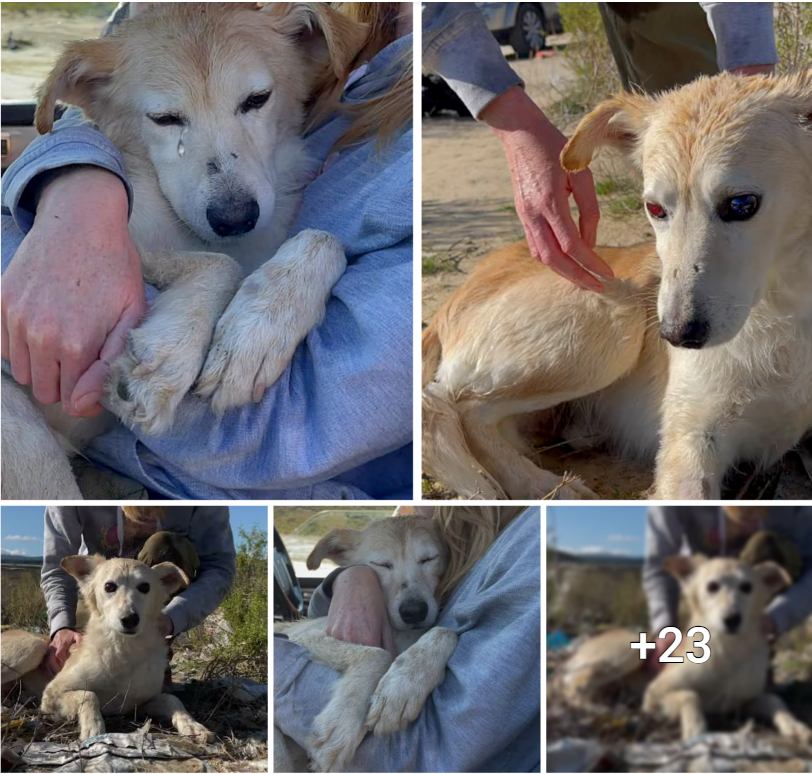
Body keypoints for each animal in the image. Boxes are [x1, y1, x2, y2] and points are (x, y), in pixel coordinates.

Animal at [0, 3, 368, 500]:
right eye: (164, 118)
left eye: (257, 99)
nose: (234, 217)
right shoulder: (114, 248)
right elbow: (222, 264)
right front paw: (169, 357)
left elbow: (324, 239)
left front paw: (258, 332)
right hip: (22, 436)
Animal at [1, 556, 211, 744]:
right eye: (109, 587)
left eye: (145, 587)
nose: (130, 619)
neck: (123, 649)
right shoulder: (52, 693)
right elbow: (89, 695)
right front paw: (94, 727)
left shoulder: (141, 704)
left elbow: (172, 699)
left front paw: (193, 725)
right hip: (34, 647)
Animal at [276, 516, 460, 774]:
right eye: (382, 564)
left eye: (429, 558)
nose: (414, 611)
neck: (401, 635)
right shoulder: (298, 637)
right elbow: (379, 654)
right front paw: (342, 724)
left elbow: (446, 631)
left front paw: (403, 687)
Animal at [422, 73, 812, 504]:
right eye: (655, 209)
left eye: (742, 204)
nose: (675, 336)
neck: (786, 309)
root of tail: (453, 300)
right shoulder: (689, 435)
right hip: (619, 318)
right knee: (456, 407)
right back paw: (538, 486)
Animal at [560, 556, 812, 744]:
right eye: (712, 586)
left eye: (747, 587)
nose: (732, 619)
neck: (727, 650)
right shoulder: (654, 694)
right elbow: (691, 695)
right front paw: (696, 730)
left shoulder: (745, 701)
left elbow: (775, 700)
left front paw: (795, 726)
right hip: (629, 651)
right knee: (575, 684)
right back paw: (592, 708)